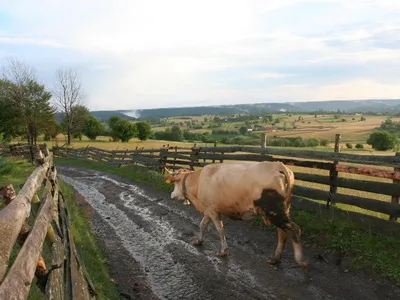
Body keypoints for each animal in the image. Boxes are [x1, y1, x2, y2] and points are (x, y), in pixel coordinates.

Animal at [164, 161, 308, 270]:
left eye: (175, 183)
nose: (171, 195)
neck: (198, 181)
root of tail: (279, 166)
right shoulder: (209, 209)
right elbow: (202, 225)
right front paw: (199, 241)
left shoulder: (213, 210)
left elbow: (220, 229)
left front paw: (223, 251)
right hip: (280, 210)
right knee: (282, 232)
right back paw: (275, 259)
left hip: (274, 211)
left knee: (294, 229)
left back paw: (300, 260)